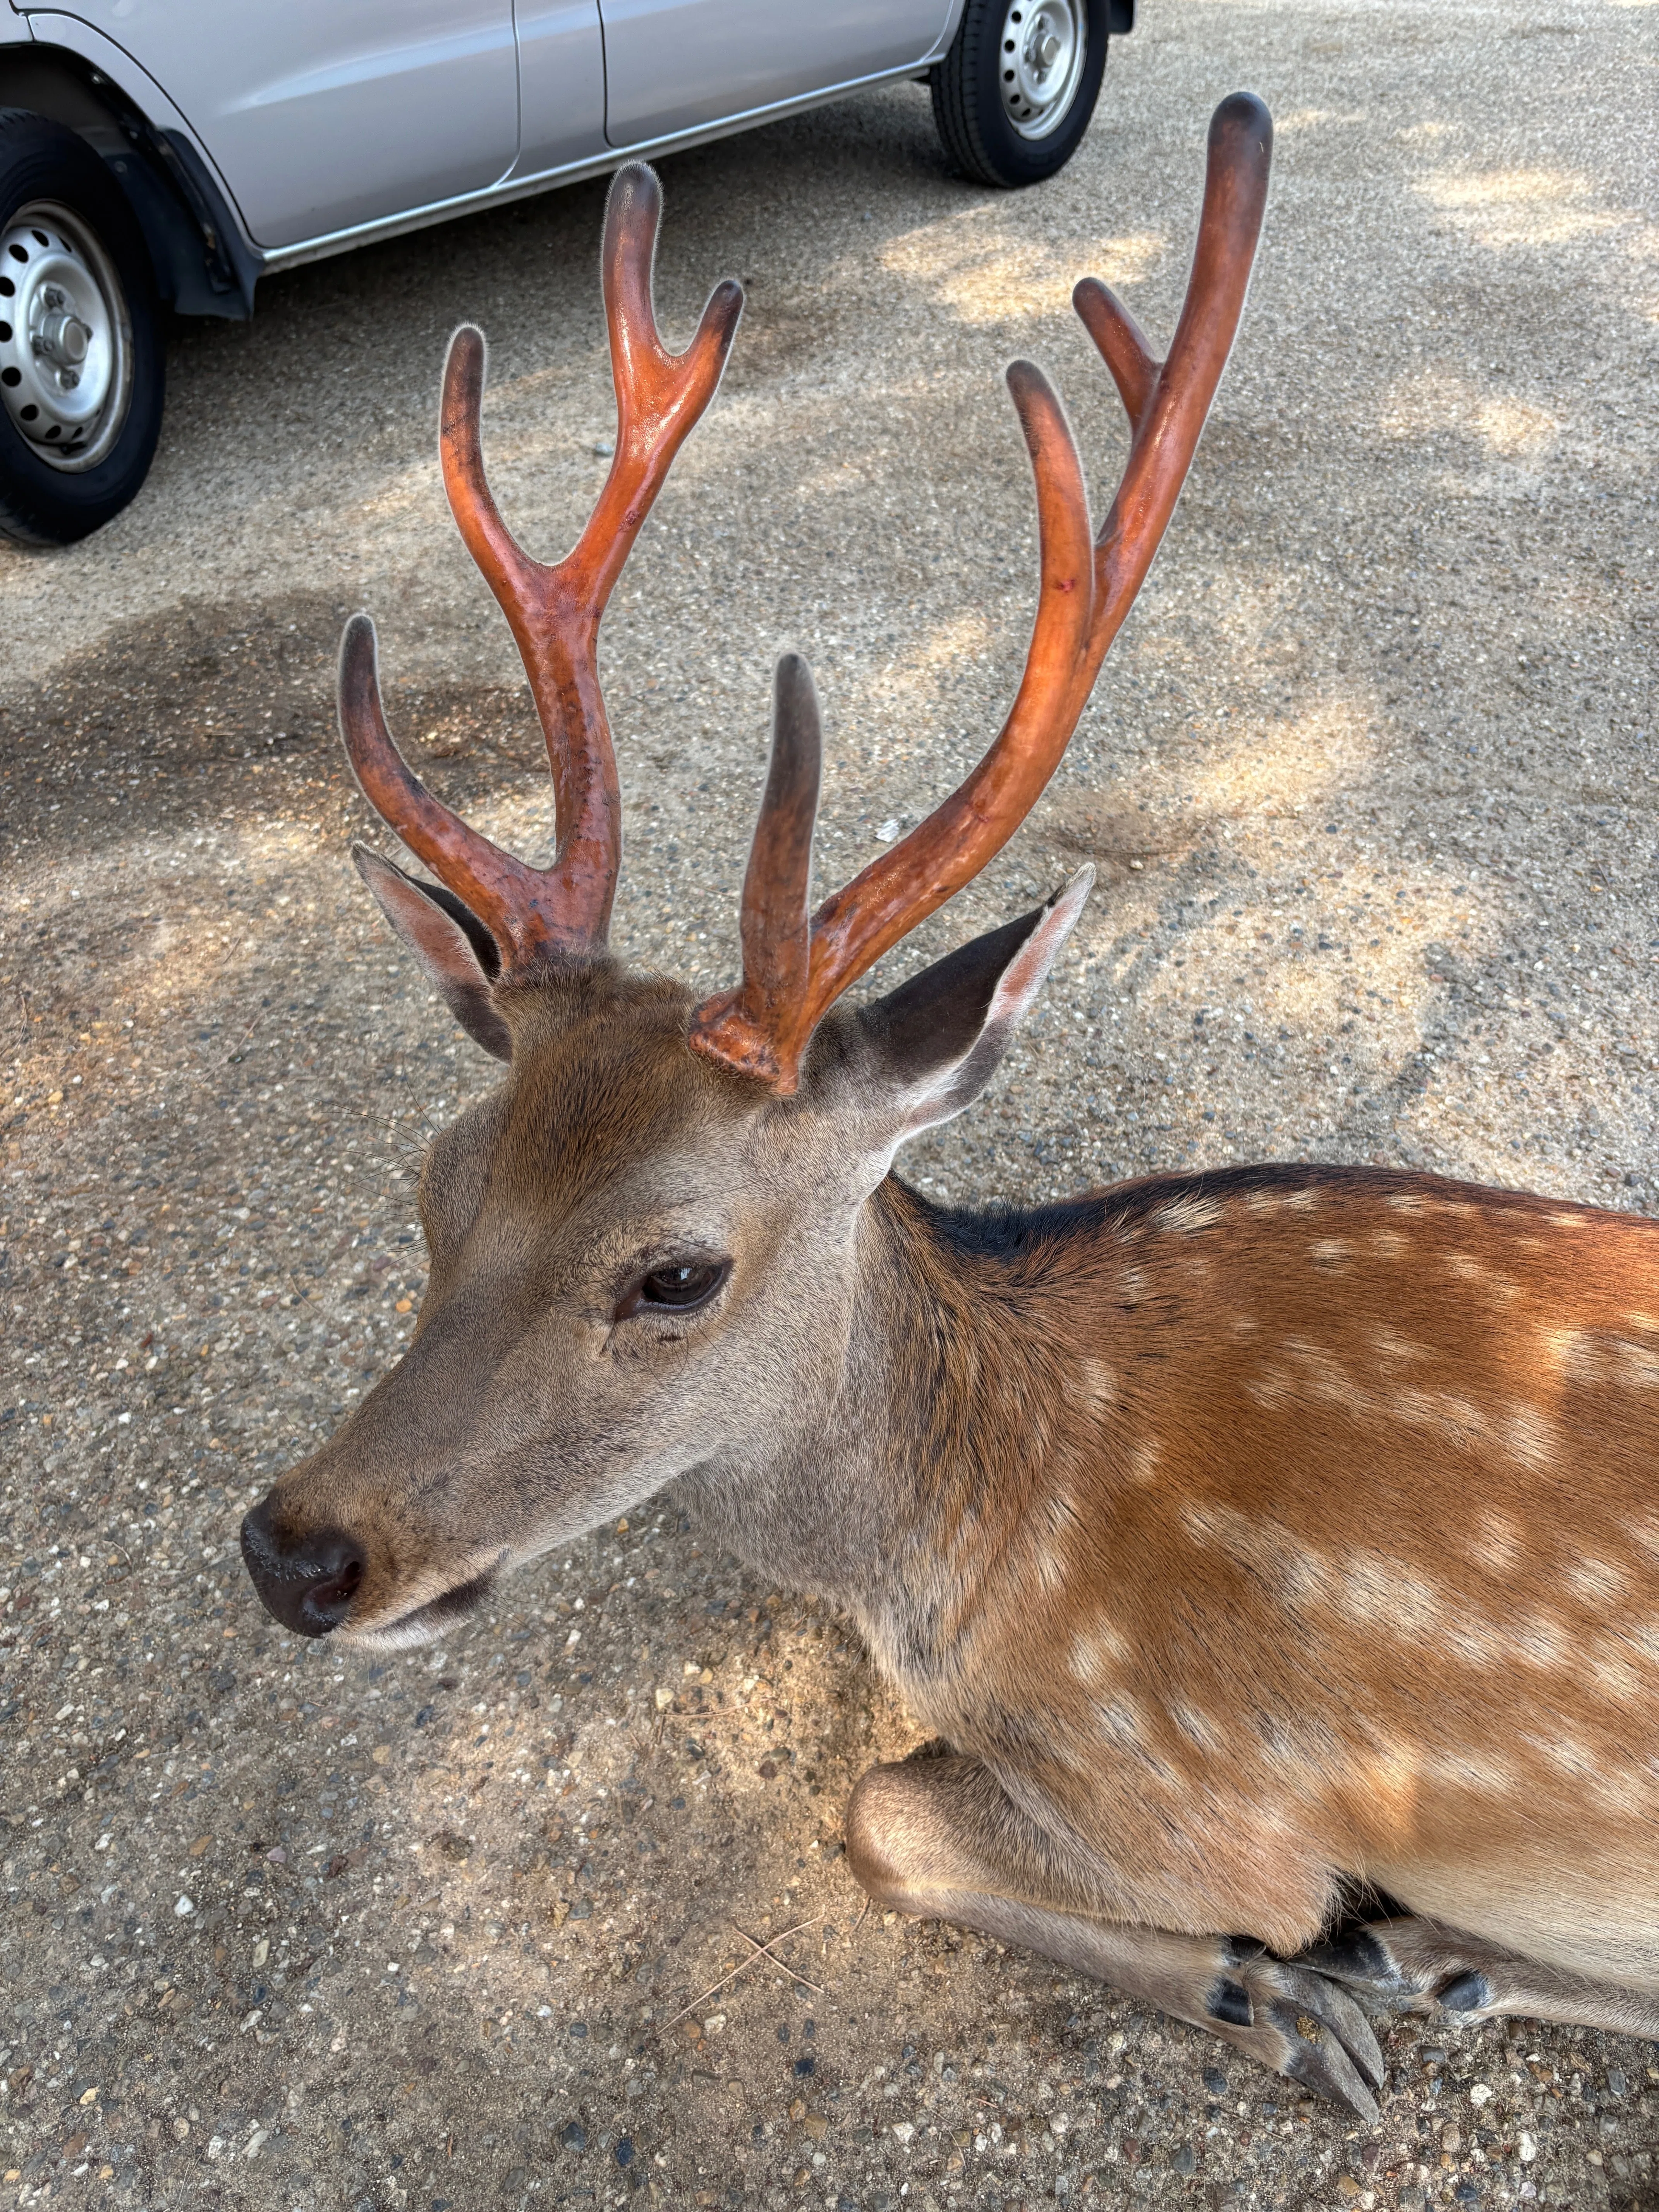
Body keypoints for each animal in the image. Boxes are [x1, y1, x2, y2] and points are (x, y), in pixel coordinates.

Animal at [239, 96, 1659, 2123]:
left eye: (677, 1274)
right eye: (433, 1183)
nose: (295, 1551)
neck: (971, 1550)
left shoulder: (1213, 1788)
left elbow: (877, 1811)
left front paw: (1274, 1987)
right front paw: (1298, 1992)